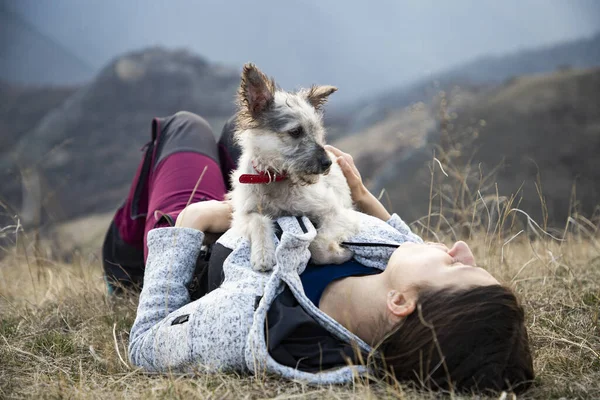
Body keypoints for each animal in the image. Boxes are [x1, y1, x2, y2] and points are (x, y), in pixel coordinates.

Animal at [225, 63, 356, 272]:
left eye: (318, 132)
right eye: (295, 132)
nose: (327, 163)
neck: (274, 177)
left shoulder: (337, 213)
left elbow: (317, 244)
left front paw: (339, 254)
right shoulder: (243, 214)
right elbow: (258, 221)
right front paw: (263, 253)